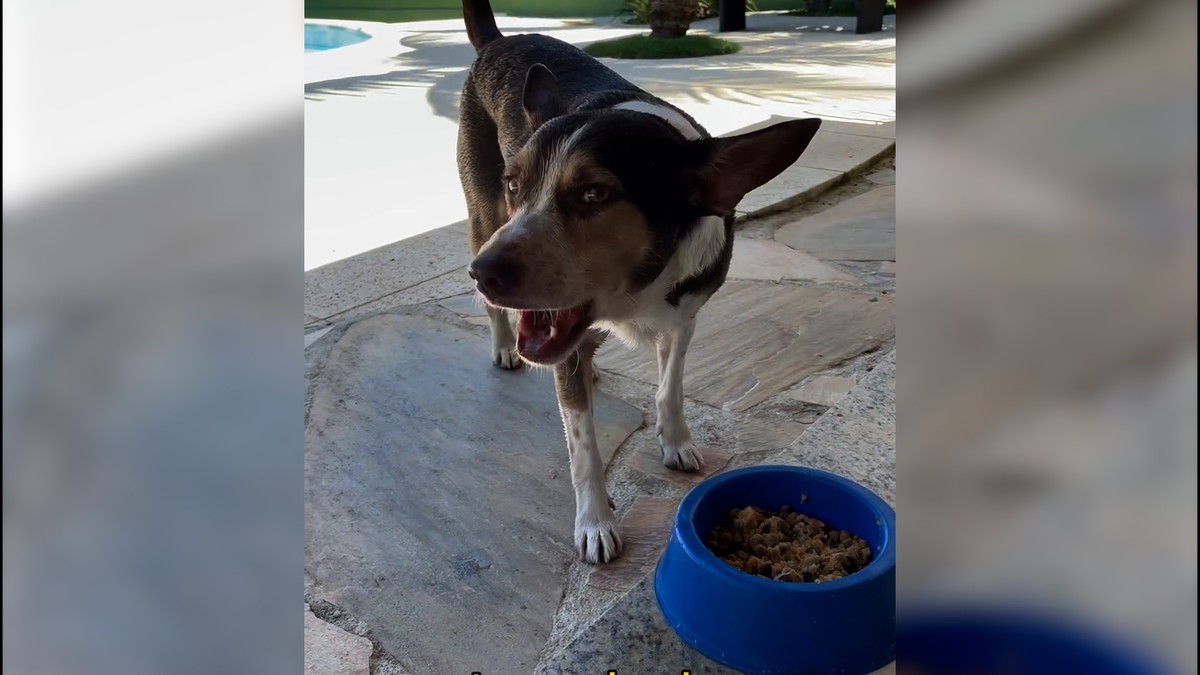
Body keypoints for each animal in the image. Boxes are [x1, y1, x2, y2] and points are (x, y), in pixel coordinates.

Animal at [453, 0, 820, 562]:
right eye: (516, 185)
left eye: (594, 195)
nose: (483, 275)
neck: (633, 295)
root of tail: (499, 39)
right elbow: (582, 444)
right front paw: (595, 522)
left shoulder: (684, 314)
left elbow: (670, 386)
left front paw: (676, 442)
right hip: (482, 217)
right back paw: (503, 345)